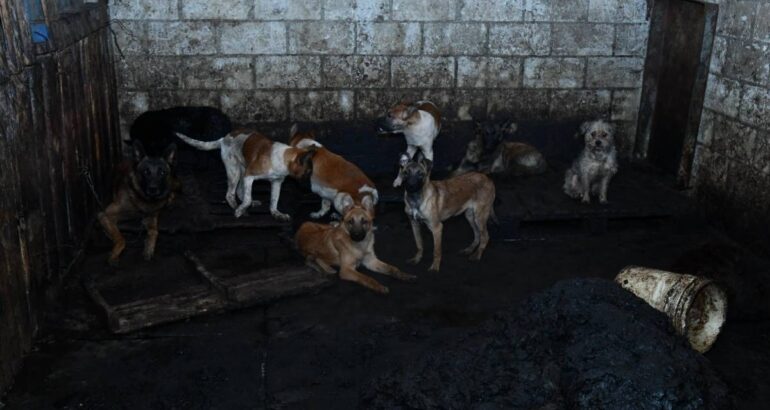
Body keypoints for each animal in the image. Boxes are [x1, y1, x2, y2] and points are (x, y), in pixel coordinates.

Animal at [177, 129, 316, 219]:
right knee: (230, 194)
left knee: (239, 191)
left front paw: (277, 213)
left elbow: (274, 200)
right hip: (235, 171)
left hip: (242, 170)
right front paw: (240, 210)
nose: (312, 190)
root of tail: (223, 139)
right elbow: (248, 198)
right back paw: (237, 208)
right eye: (308, 172)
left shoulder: (276, 182)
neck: (282, 158)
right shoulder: (249, 176)